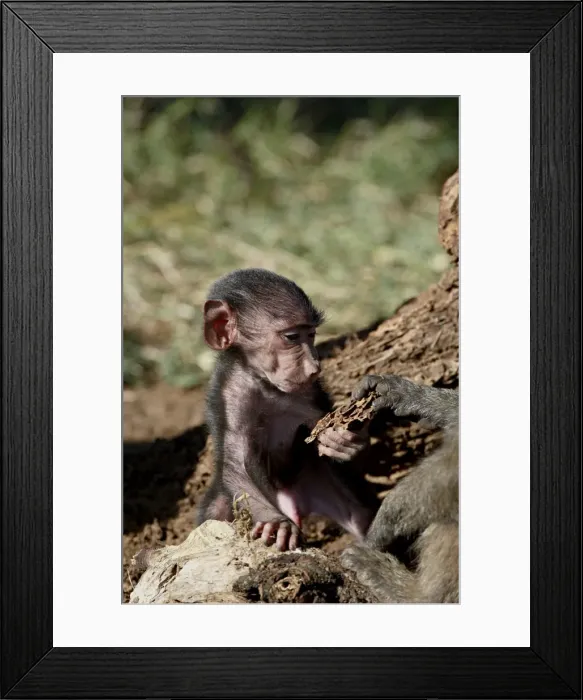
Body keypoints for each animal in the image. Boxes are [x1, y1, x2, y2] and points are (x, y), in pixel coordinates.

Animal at [197, 268, 375, 551]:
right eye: (291, 337)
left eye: (311, 334)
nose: (314, 367)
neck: (265, 384)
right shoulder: (232, 392)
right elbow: (236, 462)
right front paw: (276, 524)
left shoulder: (309, 392)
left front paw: (347, 443)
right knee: (218, 510)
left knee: (359, 514)